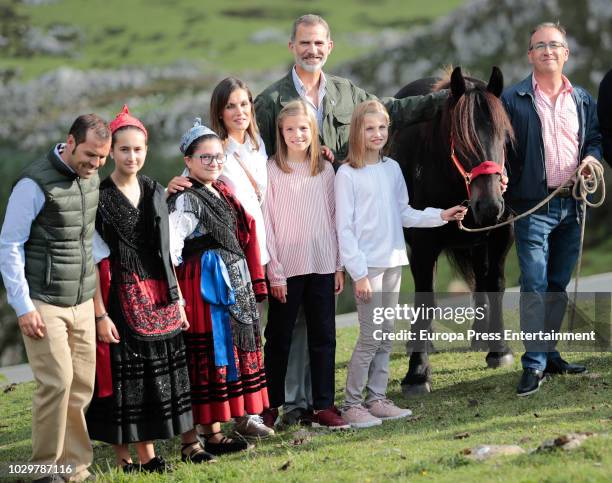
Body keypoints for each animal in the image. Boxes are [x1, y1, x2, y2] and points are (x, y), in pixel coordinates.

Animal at [390, 66, 512, 396]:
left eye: (503, 136)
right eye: (460, 138)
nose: (489, 206)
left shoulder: (501, 232)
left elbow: (495, 284)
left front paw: (499, 349)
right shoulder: (422, 245)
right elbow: (425, 300)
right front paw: (418, 373)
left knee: (481, 278)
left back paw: (482, 336)